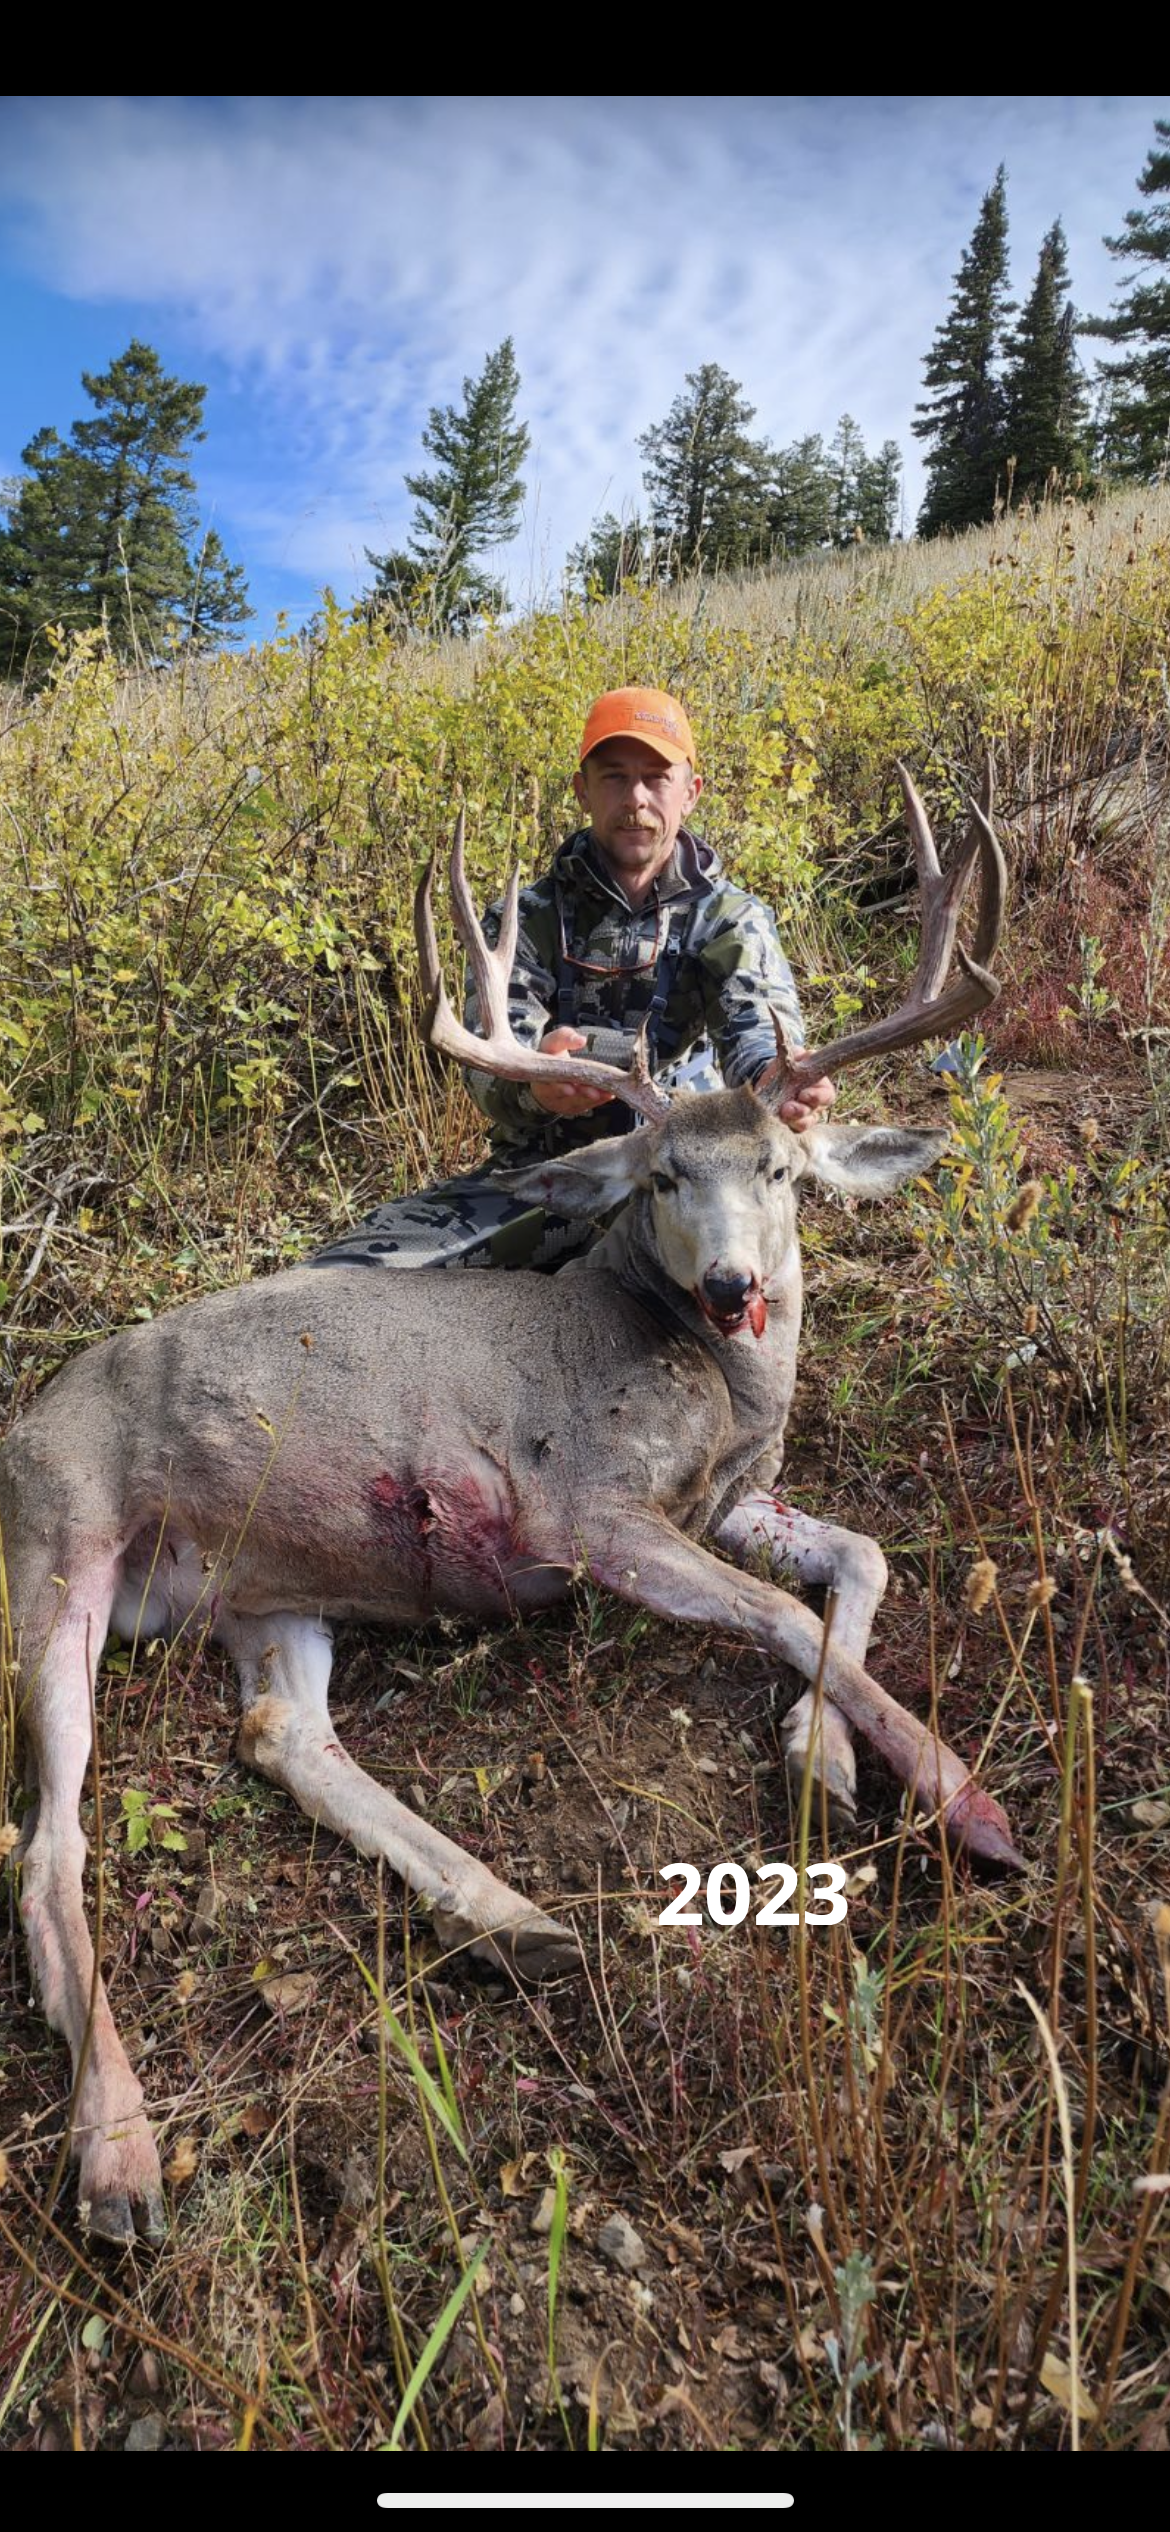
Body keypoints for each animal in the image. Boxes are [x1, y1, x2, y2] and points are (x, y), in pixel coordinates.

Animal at [1, 762, 1017, 2248]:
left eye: (779, 1173)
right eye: (661, 1176)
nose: (732, 1286)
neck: (701, 1379)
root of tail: (24, 1419)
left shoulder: (727, 1502)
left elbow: (861, 1560)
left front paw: (820, 1755)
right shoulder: (589, 1512)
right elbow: (782, 1612)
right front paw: (959, 1798)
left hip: (267, 1593)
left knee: (280, 1736)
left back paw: (510, 1918)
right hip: (59, 1544)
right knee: (50, 1841)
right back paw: (120, 2159)